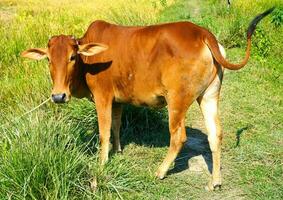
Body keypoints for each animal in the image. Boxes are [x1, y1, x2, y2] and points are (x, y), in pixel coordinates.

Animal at [21, 7, 274, 190]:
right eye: (49, 59)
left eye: (73, 57)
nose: (58, 95)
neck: (88, 61)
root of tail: (203, 34)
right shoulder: (118, 101)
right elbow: (116, 126)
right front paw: (118, 151)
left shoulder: (103, 97)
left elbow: (103, 133)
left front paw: (101, 164)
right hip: (209, 95)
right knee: (215, 134)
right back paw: (215, 181)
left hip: (177, 99)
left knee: (178, 136)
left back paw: (160, 172)